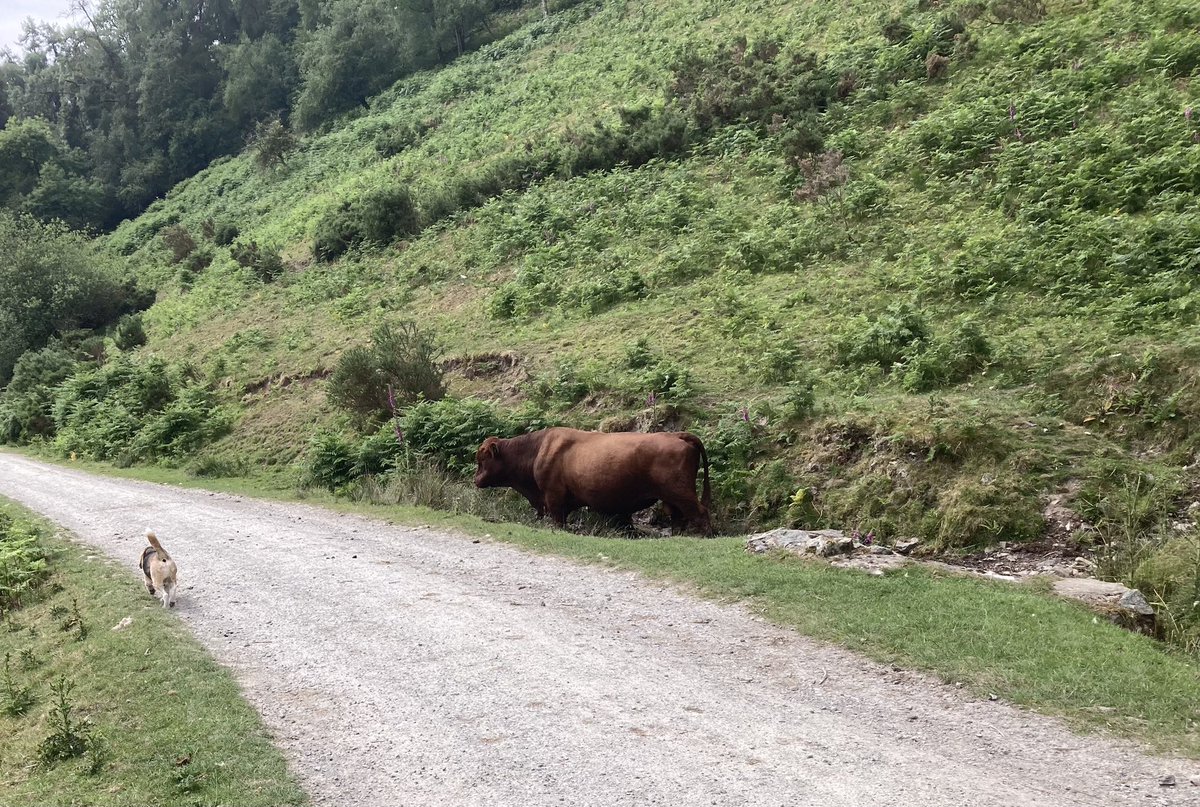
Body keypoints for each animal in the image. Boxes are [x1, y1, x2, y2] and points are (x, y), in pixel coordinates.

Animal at [474, 427, 713, 535]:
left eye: (482, 459)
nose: (476, 480)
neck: (538, 449)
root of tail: (678, 435)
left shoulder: (554, 498)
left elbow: (558, 519)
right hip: (672, 498)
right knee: (678, 517)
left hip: (681, 493)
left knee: (700, 513)